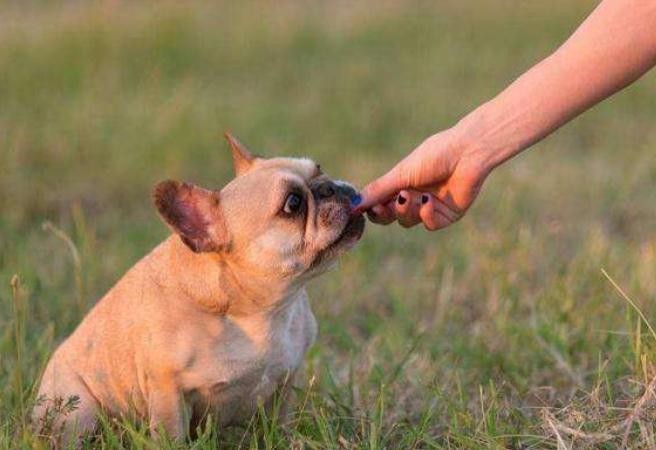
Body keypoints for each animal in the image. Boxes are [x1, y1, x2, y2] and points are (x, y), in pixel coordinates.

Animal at [34, 134, 364, 442]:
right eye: (293, 204)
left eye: (319, 169)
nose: (330, 187)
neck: (260, 309)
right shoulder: (168, 390)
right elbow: (171, 436)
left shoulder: (284, 382)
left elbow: (278, 425)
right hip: (79, 412)